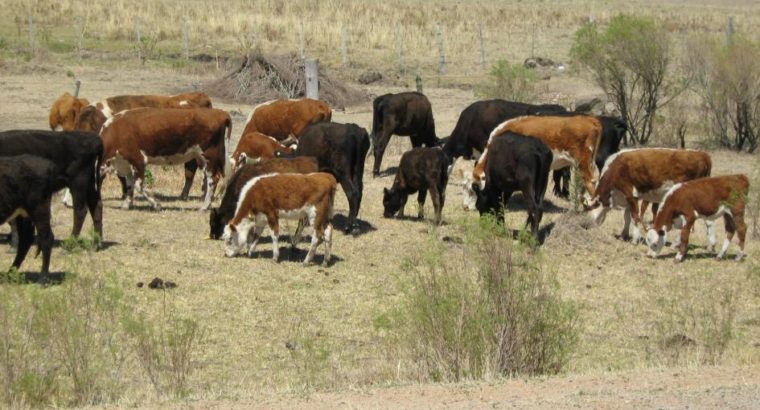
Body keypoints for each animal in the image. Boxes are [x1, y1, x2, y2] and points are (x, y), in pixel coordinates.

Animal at [101, 108, 232, 211]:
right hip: (202, 158)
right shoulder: (125, 163)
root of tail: (220, 113)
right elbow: (129, 185)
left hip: (210, 156)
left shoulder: (138, 160)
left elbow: (138, 185)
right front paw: (126, 204)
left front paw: (156, 204)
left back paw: (204, 206)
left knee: (213, 179)